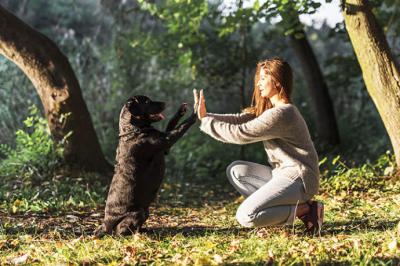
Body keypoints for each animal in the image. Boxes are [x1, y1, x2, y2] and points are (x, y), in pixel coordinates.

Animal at [97, 95, 197, 235]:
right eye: (147, 102)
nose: (164, 103)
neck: (133, 130)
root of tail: (105, 226)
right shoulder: (166, 140)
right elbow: (180, 127)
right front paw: (195, 114)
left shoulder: (165, 149)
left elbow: (172, 123)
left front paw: (181, 111)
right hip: (138, 213)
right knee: (120, 231)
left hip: (146, 211)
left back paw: (145, 230)